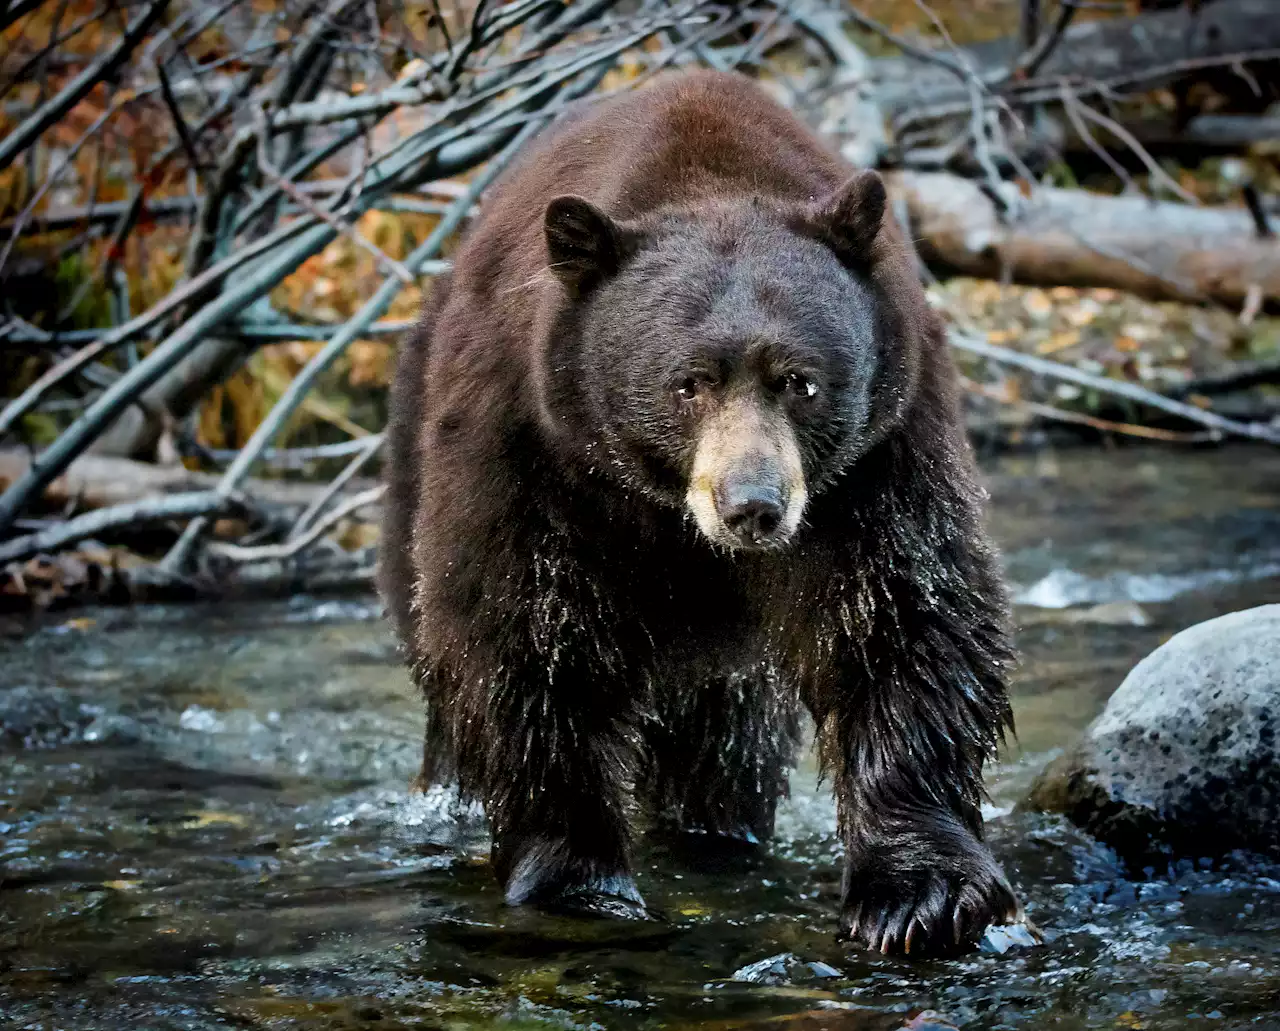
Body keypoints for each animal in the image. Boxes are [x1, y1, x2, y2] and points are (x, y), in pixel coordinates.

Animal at [376, 66, 1018, 957]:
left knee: (726, 733)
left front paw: (920, 893)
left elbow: (901, 614)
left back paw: (718, 832)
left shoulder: (878, 457)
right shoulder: (532, 450)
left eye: (800, 380)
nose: (753, 505)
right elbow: (525, 637)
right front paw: (579, 880)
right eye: (688, 383)